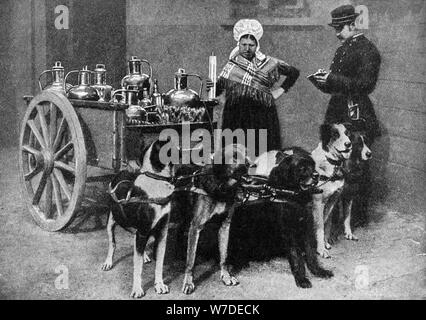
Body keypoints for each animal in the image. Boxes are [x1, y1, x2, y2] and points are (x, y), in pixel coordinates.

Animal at [101, 139, 175, 298]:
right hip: (111, 222)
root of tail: (122, 170)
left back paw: (145, 256)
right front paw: (137, 289)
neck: (156, 180)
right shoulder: (143, 232)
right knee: (112, 243)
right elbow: (138, 267)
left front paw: (159, 285)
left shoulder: (162, 234)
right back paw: (108, 262)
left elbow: (159, 263)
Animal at [310, 122, 352, 258]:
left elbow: (326, 223)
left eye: (347, 133)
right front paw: (320, 249)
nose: (348, 144)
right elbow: (320, 226)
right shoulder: (318, 203)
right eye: (335, 134)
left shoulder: (332, 200)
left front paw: (324, 243)